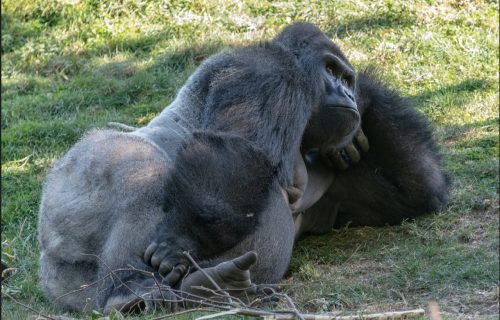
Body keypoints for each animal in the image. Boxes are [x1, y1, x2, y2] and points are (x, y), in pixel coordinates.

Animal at [37, 22, 448, 312]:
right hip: (72, 182)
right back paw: (128, 292)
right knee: (142, 171)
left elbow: (410, 196)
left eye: (347, 78)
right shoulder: (267, 72)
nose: (347, 92)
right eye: (331, 71)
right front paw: (182, 243)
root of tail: (48, 273)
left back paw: (209, 286)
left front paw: (362, 112)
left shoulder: (331, 176)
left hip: (71, 279)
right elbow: (238, 151)